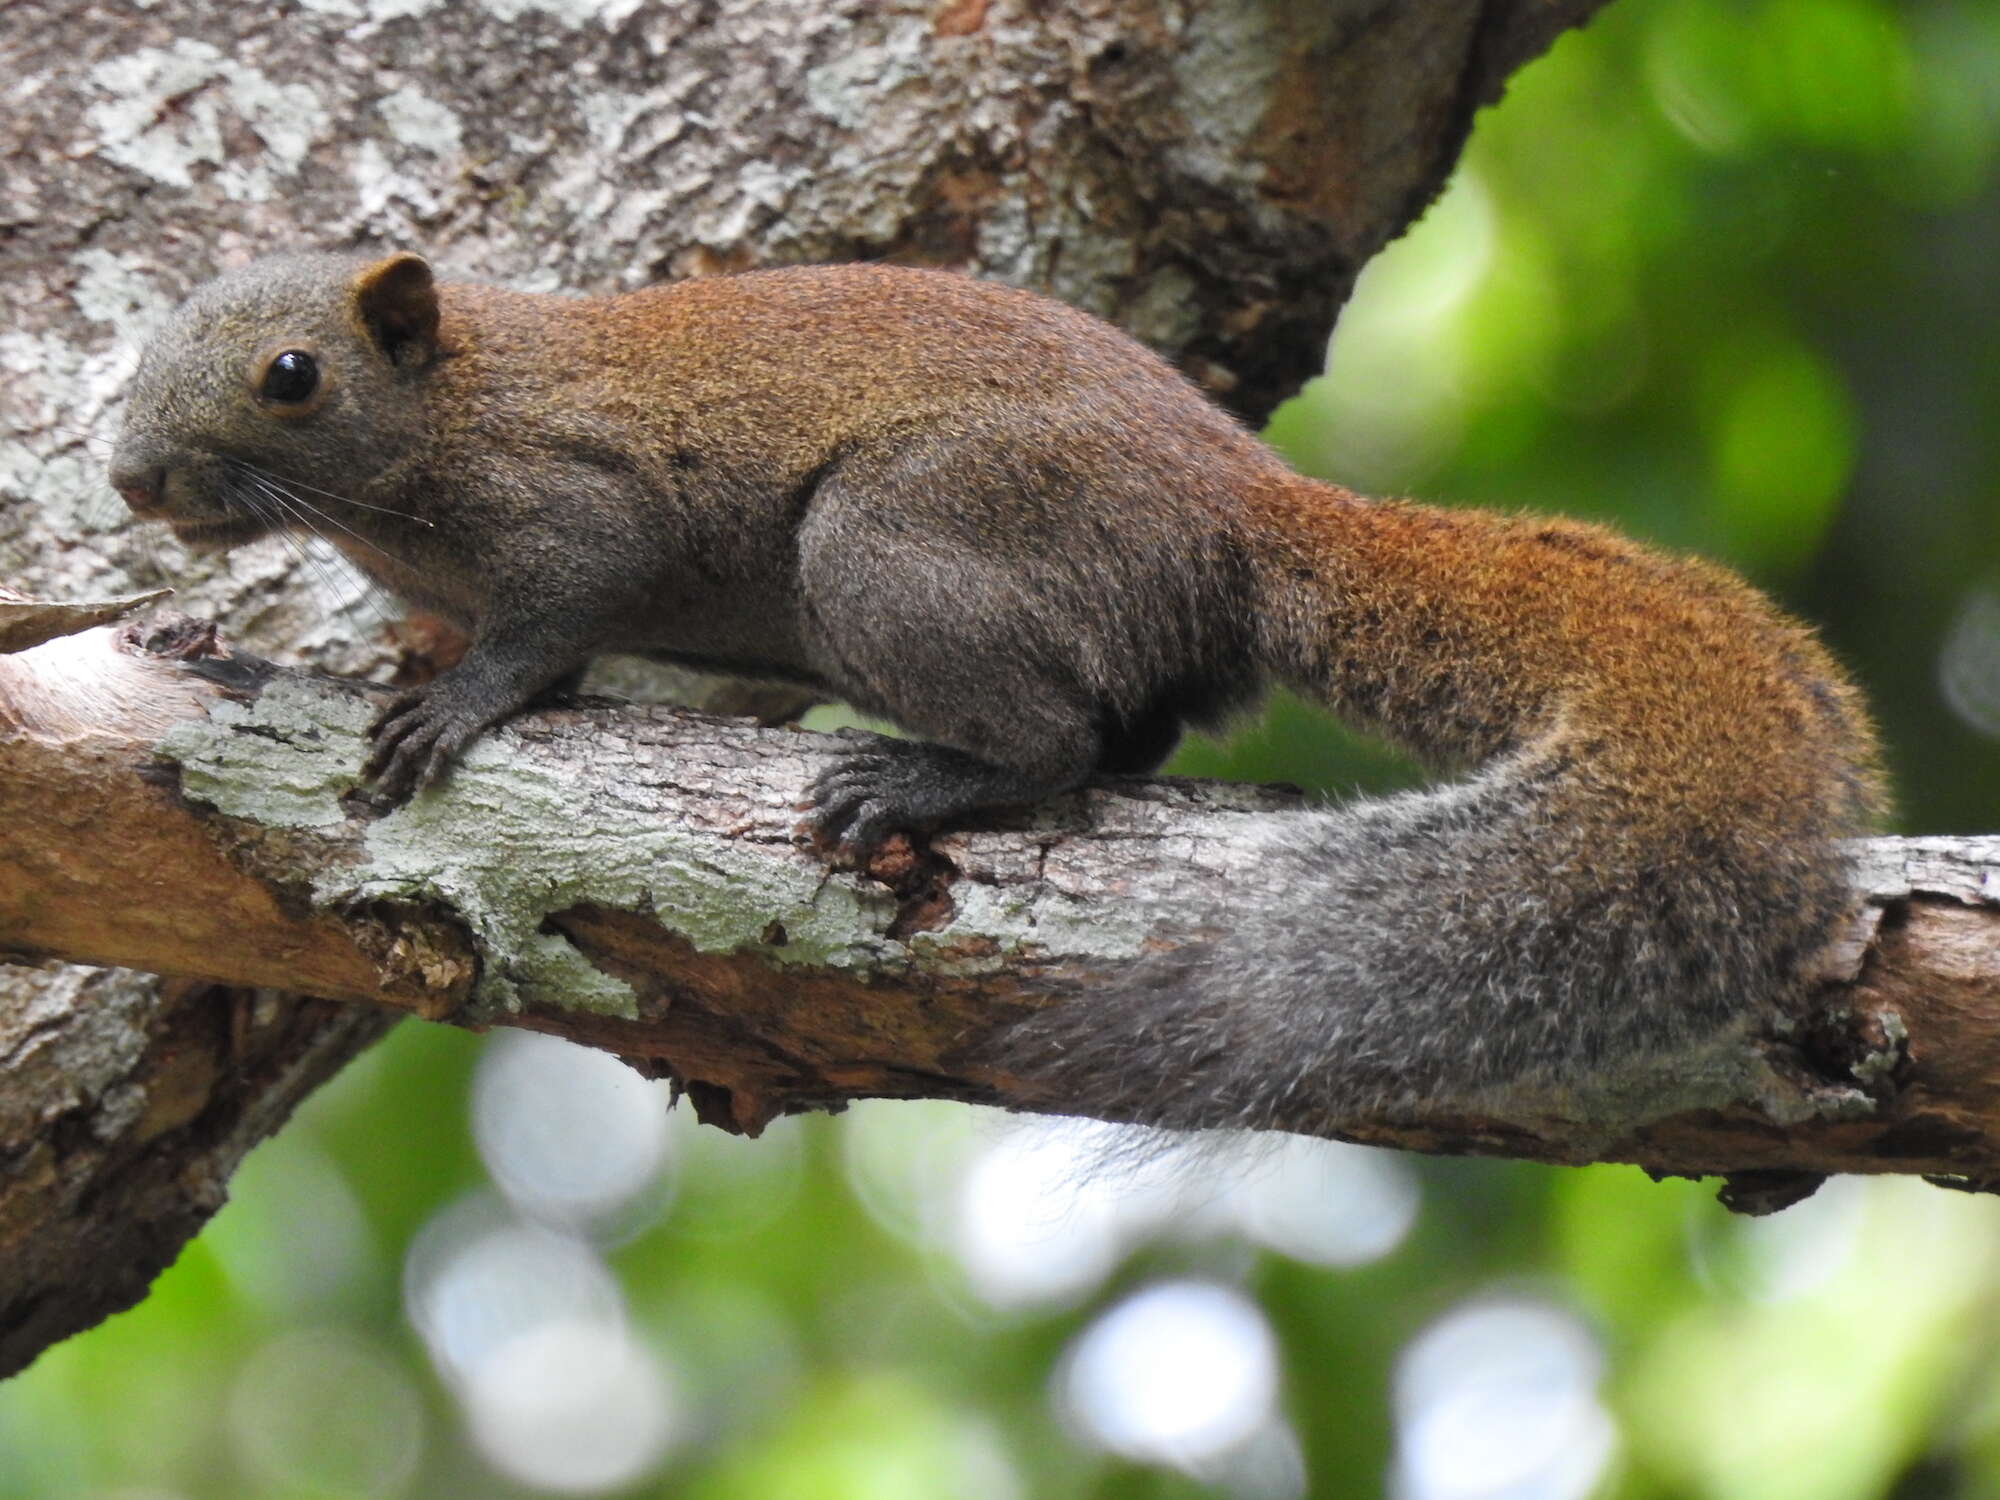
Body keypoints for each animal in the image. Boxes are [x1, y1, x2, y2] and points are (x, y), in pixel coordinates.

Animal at [109, 256, 1888, 1128]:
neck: (450, 407)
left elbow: (550, 625)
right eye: (138, 348)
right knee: (1136, 728)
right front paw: (387, 661)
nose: (128, 480)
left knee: (1061, 743)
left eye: (291, 376)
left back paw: (918, 779)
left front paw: (451, 704)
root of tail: (1239, 512)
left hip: (890, 550)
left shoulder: (571, 510)